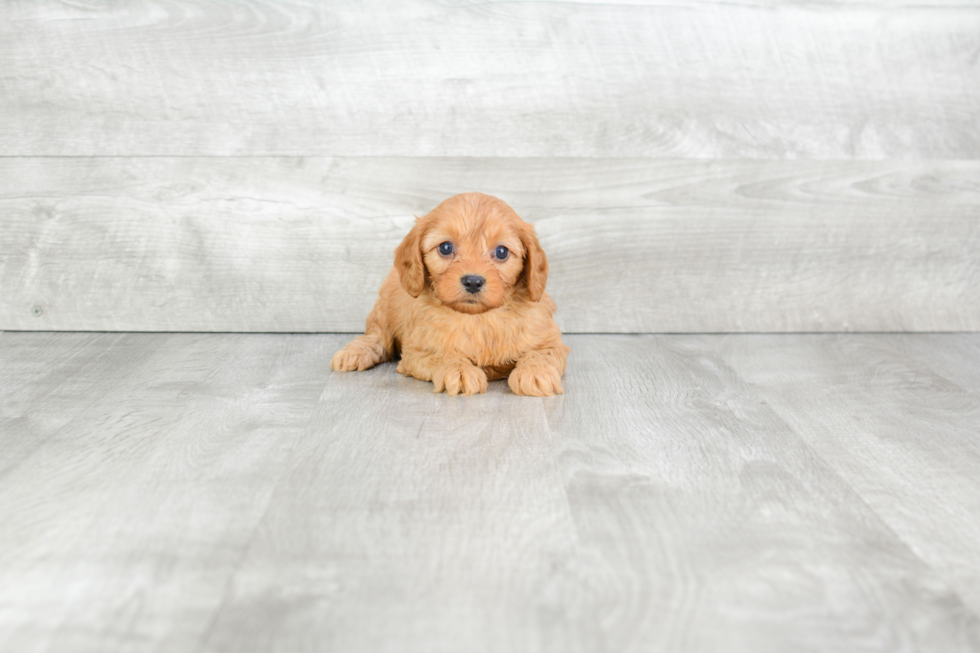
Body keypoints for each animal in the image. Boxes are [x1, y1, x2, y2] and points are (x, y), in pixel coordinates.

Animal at [334, 191, 572, 394]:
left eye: (502, 252)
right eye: (446, 247)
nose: (473, 282)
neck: (479, 318)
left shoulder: (548, 338)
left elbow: (540, 353)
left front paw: (535, 372)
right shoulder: (419, 350)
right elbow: (445, 354)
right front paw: (459, 371)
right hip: (384, 312)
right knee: (376, 338)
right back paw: (353, 354)